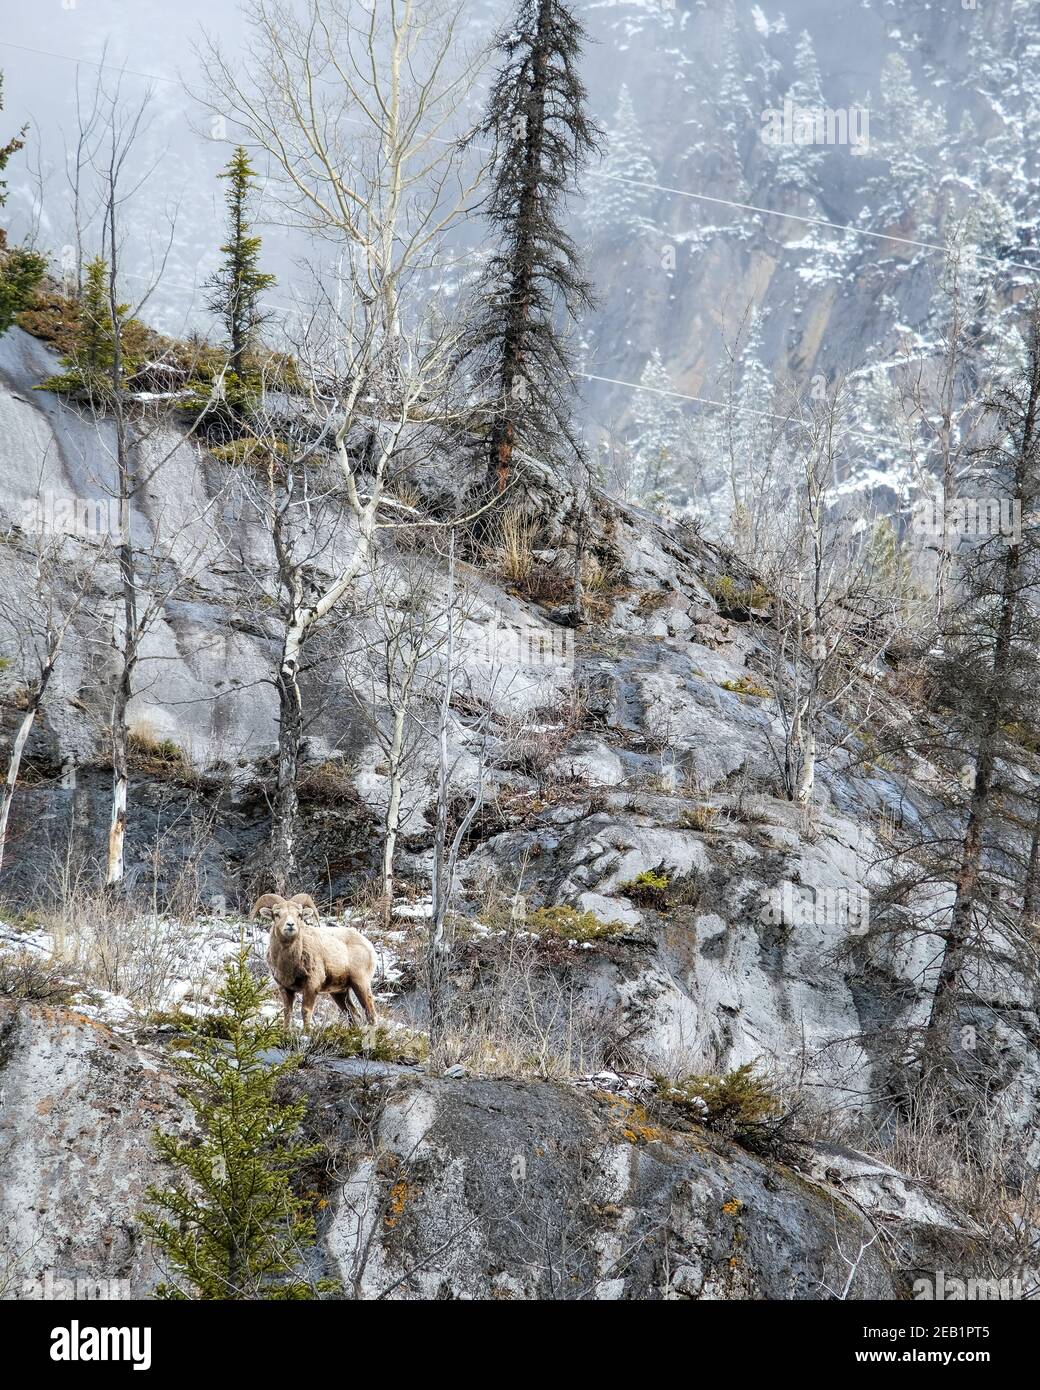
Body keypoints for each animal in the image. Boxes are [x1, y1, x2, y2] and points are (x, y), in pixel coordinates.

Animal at [252, 893, 378, 1032]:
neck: (289, 964)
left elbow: (305, 1011)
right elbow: (287, 1012)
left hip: (360, 984)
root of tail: (367, 944)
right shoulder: (285, 989)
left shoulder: (311, 986)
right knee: (352, 1014)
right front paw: (286, 1032)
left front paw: (307, 1033)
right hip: (339, 992)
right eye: (276, 914)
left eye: (299, 915)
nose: (290, 925)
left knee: (371, 1015)